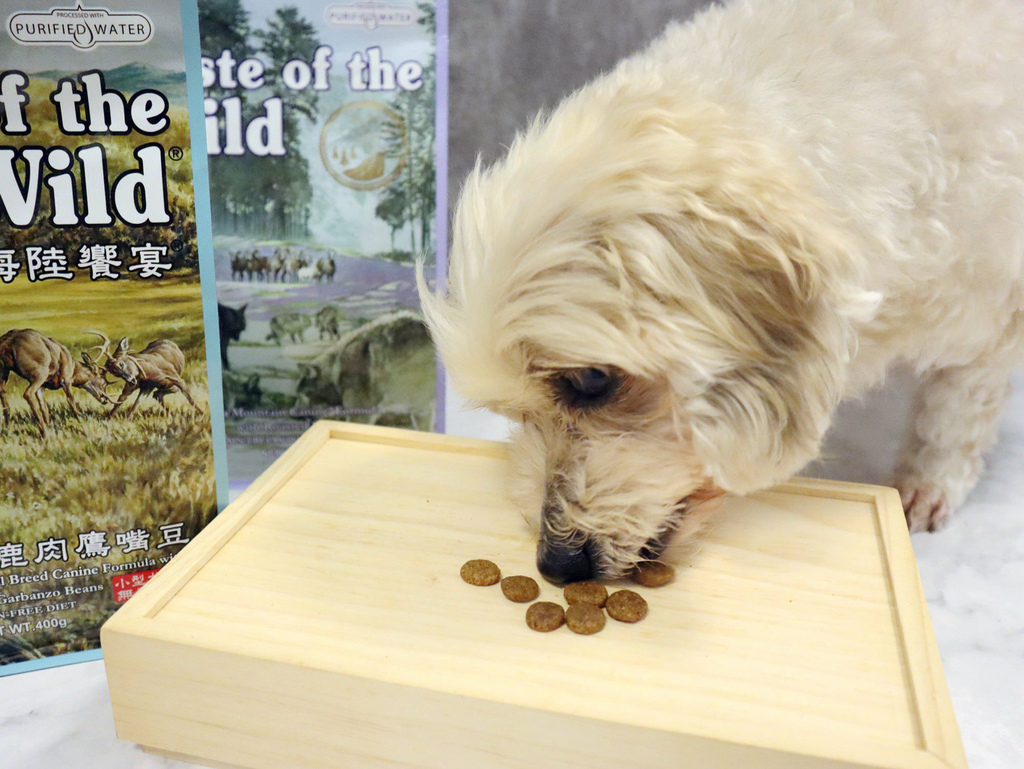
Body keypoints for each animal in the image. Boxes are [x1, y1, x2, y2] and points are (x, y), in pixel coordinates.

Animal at [415, 0, 1024, 581]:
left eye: (591, 381)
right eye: (513, 412)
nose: (558, 564)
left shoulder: (988, 312)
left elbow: (955, 417)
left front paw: (929, 485)